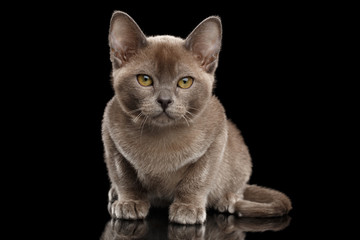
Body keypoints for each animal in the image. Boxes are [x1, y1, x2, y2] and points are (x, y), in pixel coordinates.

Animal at [102, 10, 292, 225]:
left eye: (185, 82)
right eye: (145, 80)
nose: (165, 100)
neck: (162, 137)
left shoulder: (217, 136)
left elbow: (198, 179)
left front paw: (188, 208)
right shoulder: (110, 134)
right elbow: (124, 176)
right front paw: (130, 202)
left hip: (241, 163)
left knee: (238, 188)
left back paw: (227, 200)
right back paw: (114, 194)